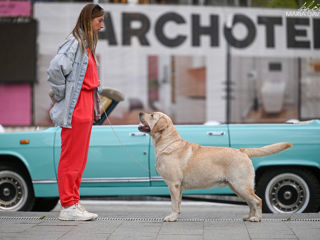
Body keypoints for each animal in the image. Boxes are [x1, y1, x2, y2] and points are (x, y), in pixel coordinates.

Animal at [138, 111, 292, 222]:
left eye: (151, 115)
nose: (140, 112)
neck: (168, 143)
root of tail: (242, 151)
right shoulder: (179, 186)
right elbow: (179, 203)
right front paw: (176, 216)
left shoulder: (174, 184)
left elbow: (174, 204)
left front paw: (171, 217)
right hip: (236, 187)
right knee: (251, 202)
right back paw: (249, 217)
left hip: (241, 184)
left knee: (257, 201)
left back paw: (257, 218)